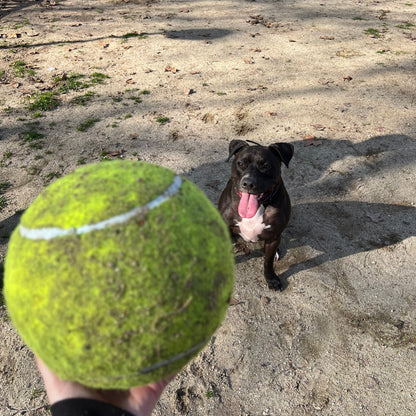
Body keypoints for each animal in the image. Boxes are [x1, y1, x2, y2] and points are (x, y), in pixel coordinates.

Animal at [219, 140, 294, 290]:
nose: (248, 183)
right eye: (241, 163)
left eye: (266, 166)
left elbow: (268, 261)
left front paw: (271, 279)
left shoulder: (274, 237)